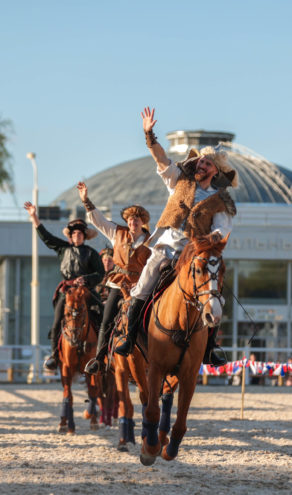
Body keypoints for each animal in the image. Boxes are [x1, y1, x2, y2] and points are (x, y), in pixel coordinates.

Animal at [57, 286, 102, 434]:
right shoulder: (66, 368)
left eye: (82, 310)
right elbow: (68, 395)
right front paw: (68, 426)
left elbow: (93, 391)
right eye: (67, 313)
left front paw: (91, 419)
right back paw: (63, 422)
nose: (73, 337)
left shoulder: (91, 369)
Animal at [140, 236, 227, 464]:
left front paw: (168, 449)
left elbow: (180, 420)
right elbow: (152, 410)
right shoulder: (155, 368)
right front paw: (149, 449)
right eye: (197, 270)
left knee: (166, 398)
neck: (180, 320)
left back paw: (161, 437)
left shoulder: (189, 375)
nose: (213, 315)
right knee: (147, 400)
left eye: (223, 269)